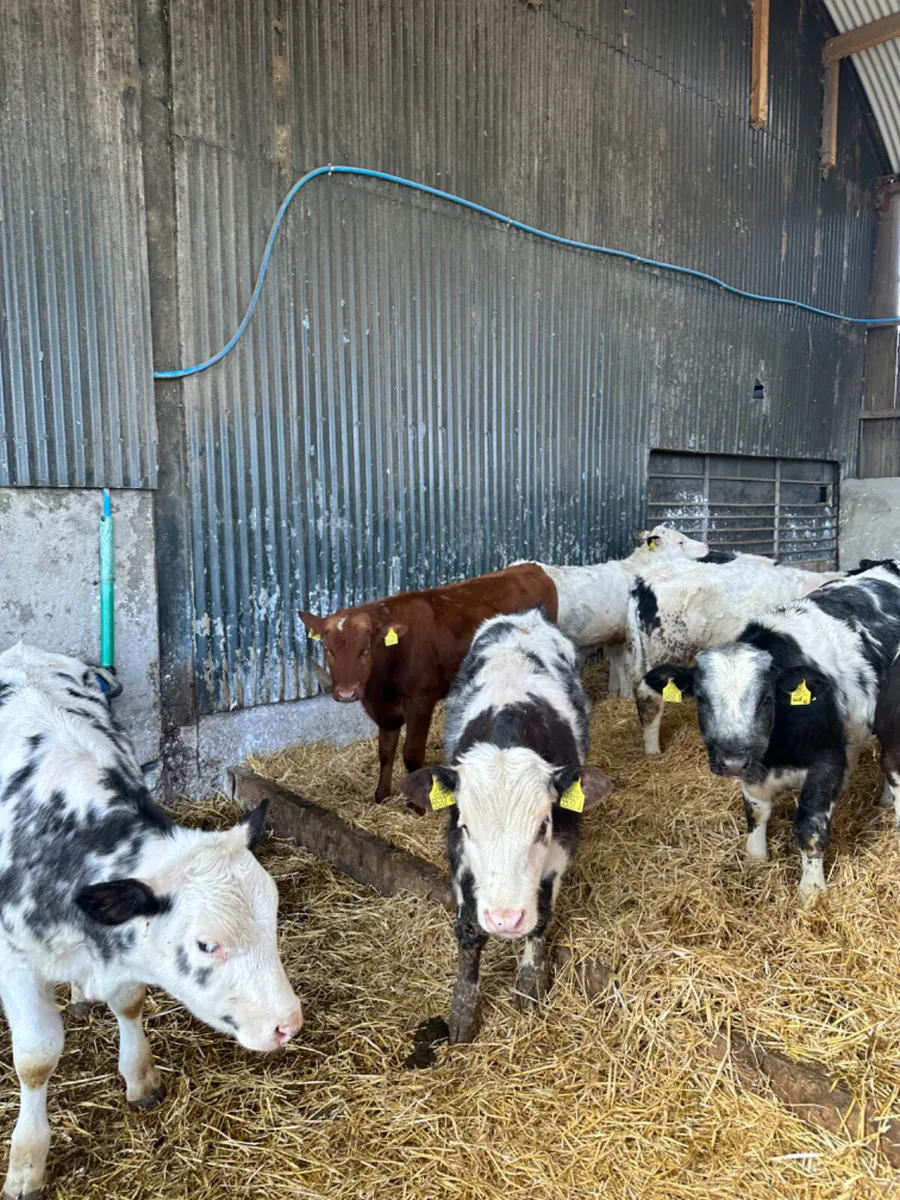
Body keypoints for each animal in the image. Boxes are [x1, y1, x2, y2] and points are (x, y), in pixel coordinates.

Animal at [0, 644, 303, 1199]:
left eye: (273, 920)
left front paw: (139, 1077)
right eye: (206, 945)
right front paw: (27, 1162)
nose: (287, 1025)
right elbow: (35, 1060)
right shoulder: (14, 962)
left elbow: (129, 1001)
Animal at [298, 564, 558, 803]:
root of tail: (532, 568)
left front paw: (418, 805)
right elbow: (386, 752)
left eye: (366, 649)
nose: (346, 693)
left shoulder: (421, 702)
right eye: (328, 649)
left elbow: (412, 755)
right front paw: (381, 795)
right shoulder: (384, 711)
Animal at [397, 608, 612, 1043]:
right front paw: (463, 1013)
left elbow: (542, 917)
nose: (505, 920)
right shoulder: (456, 850)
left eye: (543, 826)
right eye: (466, 826)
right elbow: (468, 929)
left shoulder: (563, 844)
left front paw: (529, 986)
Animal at [531, 525, 709, 698]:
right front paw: (628, 696)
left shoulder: (614, 634)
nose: (706, 546)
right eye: (680, 541)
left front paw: (613, 691)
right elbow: (627, 667)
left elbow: (616, 664)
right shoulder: (629, 636)